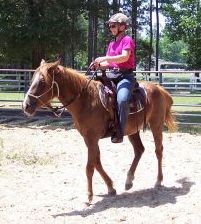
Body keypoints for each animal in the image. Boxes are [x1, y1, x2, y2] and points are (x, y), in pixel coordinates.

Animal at [22, 59, 176, 203]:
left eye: (42, 81)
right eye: (32, 79)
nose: (26, 106)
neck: (86, 100)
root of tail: (160, 89)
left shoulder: (92, 138)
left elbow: (89, 167)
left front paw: (89, 196)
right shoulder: (88, 139)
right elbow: (97, 162)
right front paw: (110, 187)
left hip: (156, 125)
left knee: (158, 150)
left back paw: (158, 181)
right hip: (133, 130)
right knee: (139, 150)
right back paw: (128, 181)